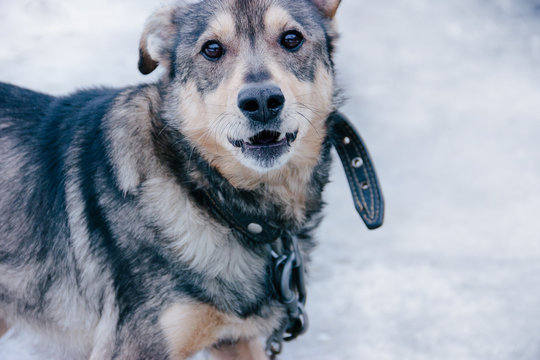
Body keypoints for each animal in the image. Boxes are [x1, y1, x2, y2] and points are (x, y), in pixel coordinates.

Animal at [0, 0, 342, 358]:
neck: (203, 194)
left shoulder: (235, 340)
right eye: (212, 49)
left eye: (292, 39)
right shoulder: (133, 347)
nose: (261, 101)